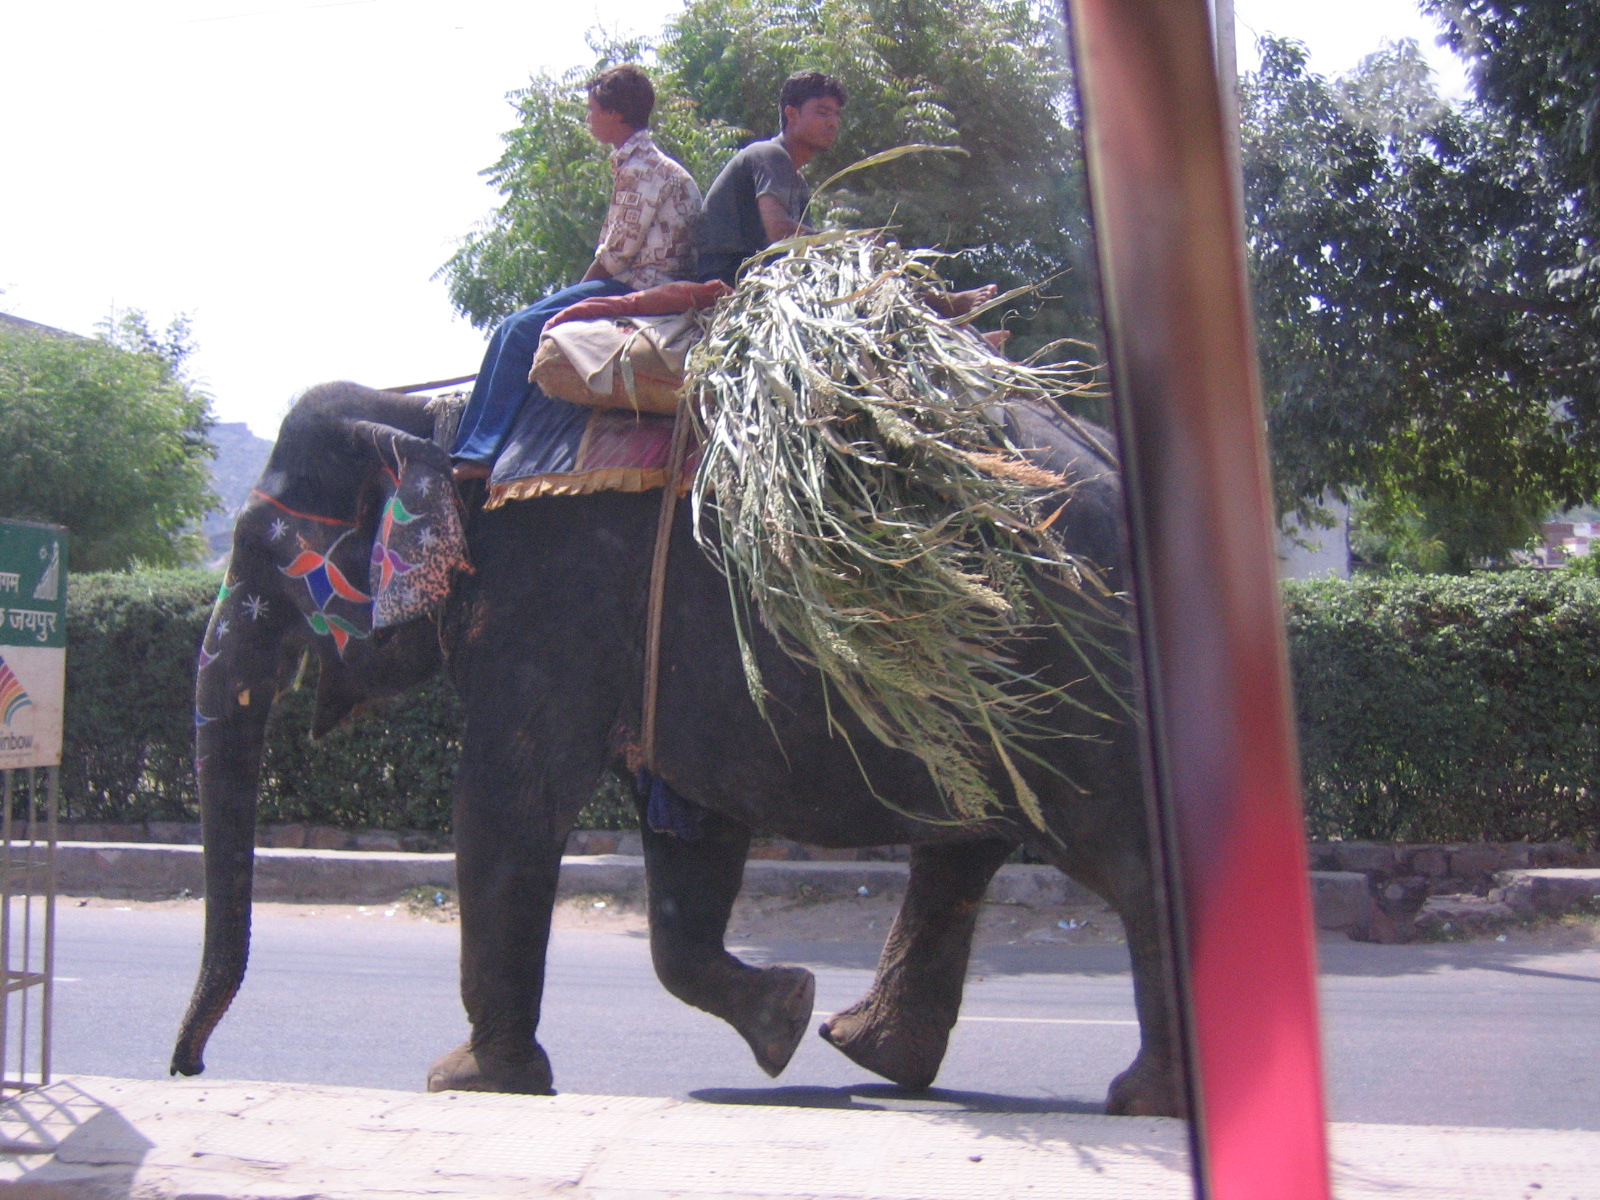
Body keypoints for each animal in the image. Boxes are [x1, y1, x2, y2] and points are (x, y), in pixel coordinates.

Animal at [172, 382, 1190, 1120]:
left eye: (257, 558)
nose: (188, 1070)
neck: (435, 412)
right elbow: (690, 841)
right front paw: (783, 1017)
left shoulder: (550, 599)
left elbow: (510, 800)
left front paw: (466, 1082)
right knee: (967, 844)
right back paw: (863, 1049)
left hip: (1070, 679)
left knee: (1123, 857)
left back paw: (1141, 1101)